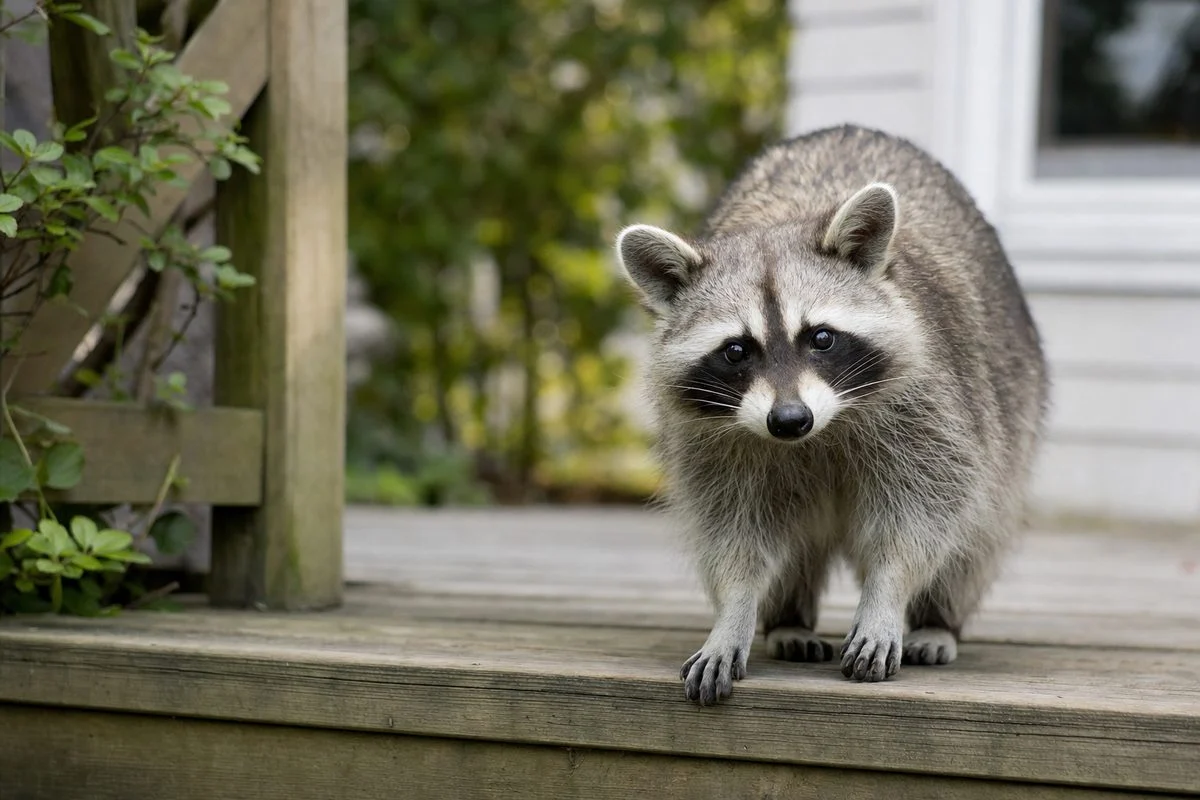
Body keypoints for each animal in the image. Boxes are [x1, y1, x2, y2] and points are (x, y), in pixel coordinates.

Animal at [615, 125, 1048, 706]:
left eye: (821, 338)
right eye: (736, 351)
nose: (789, 420)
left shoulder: (932, 404)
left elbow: (926, 510)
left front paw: (888, 593)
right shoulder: (710, 440)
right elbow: (731, 528)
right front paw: (734, 611)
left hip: (1012, 409)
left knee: (978, 539)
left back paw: (939, 621)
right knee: (794, 544)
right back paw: (788, 620)